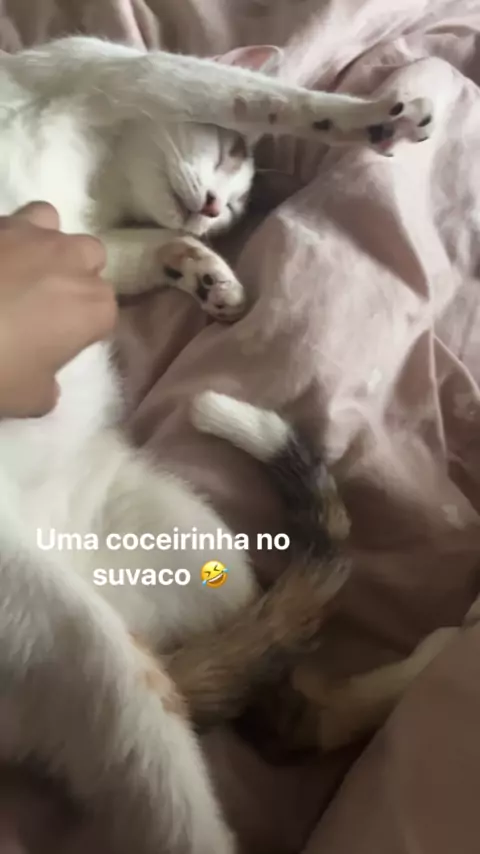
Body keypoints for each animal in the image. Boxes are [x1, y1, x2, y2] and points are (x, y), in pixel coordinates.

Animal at [0, 35, 435, 854]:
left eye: (234, 205)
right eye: (231, 156)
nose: (213, 209)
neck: (96, 179)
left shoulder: (90, 244)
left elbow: (135, 250)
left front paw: (206, 273)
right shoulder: (119, 72)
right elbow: (260, 96)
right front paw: (374, 117)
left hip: (201, 558)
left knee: (269, 685)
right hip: (83, 646)